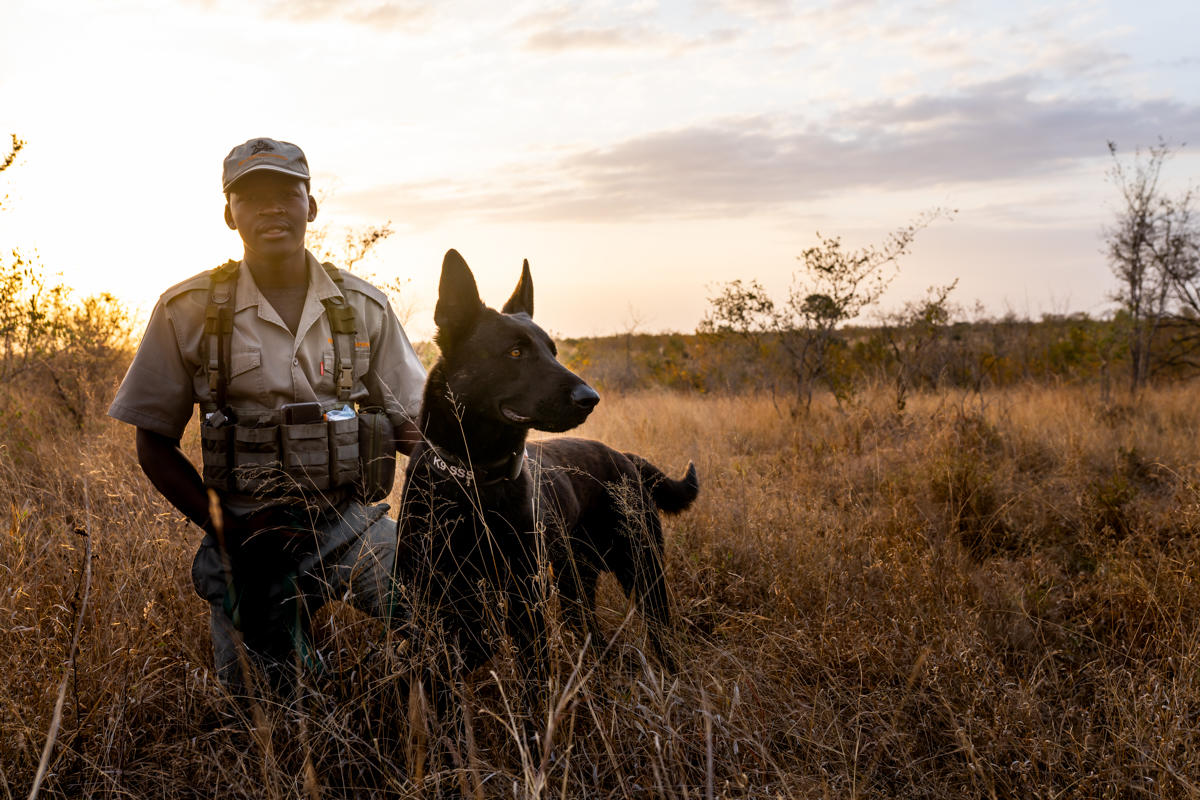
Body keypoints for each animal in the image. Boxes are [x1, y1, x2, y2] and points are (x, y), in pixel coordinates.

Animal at [396, 250, 696, 695]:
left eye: (553, 351)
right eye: (515, 353)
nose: (591, 398)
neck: (477, 479)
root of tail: (622, 455)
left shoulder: (525, 603)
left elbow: (535, 687)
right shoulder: (434, 610)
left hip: (643, 573)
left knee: (665, 641)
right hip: (575, 585)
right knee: (592, 635)